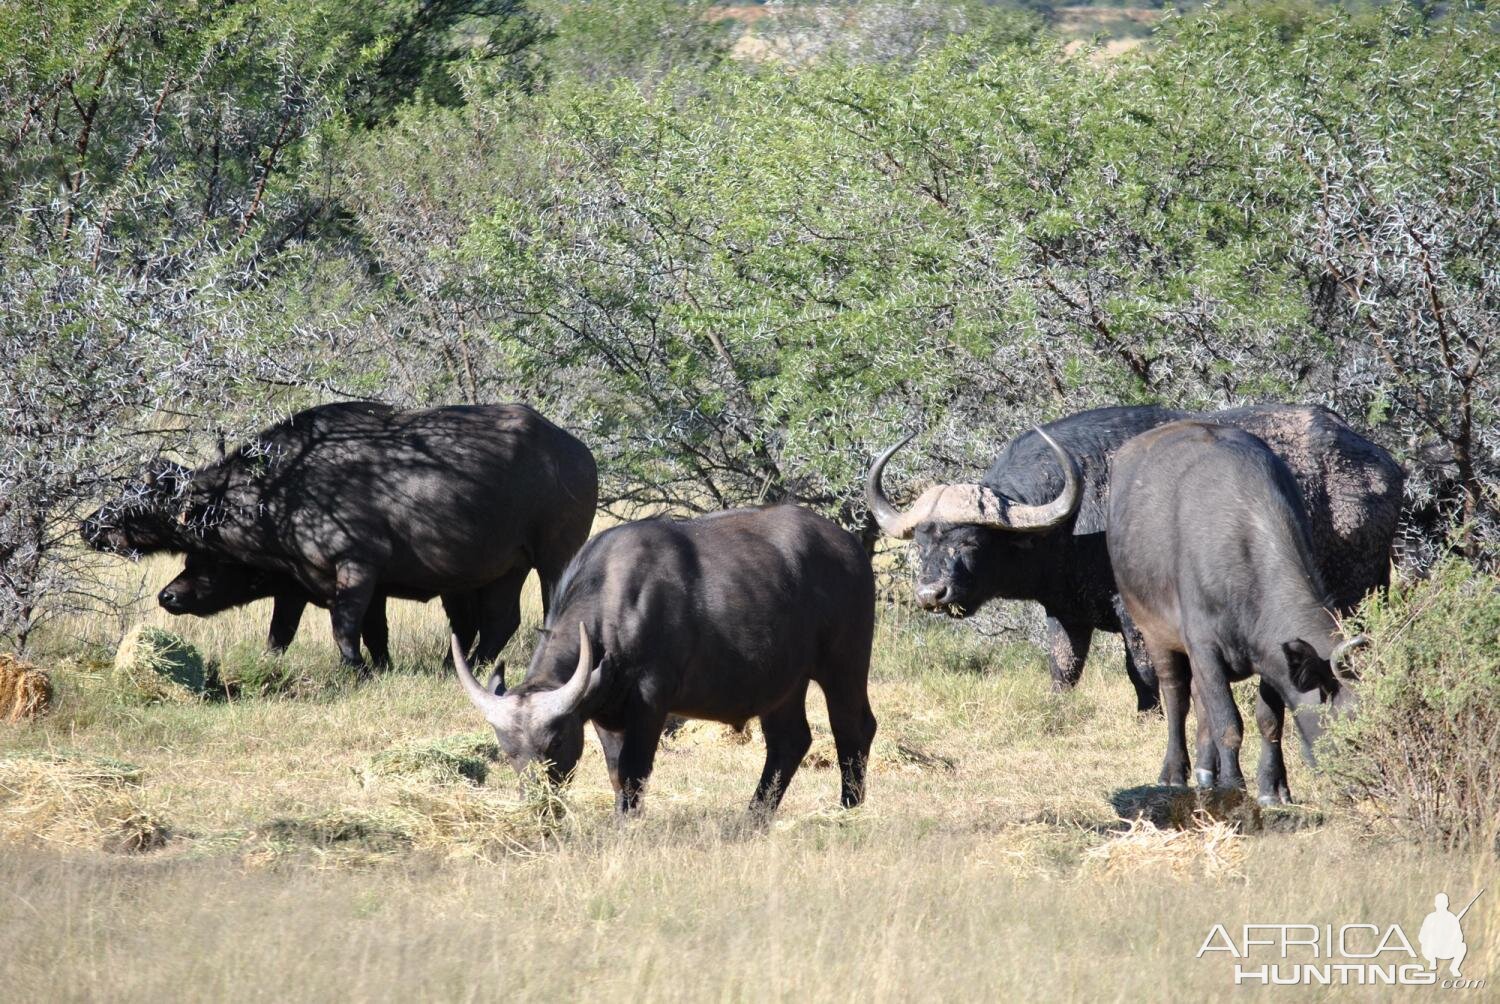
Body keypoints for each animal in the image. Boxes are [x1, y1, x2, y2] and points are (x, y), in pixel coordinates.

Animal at [450, 504, 876, 816]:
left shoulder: (650, 704)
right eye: (508, 750)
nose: (540, 806)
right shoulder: (606, 712)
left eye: (554, 742)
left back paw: (848, 809)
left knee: (854, 728)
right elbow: (616, 773)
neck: (616, 607)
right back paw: (753, 818)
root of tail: (851, 548)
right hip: (784, 686)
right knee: (789, 742)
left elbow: (634, 770)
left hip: (845, 666)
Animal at [864, 402, 1398, 708]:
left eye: (971, 541)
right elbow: (1064, 669)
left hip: (1360, 586)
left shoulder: (1135, 613)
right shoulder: (1066, 612)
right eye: (921, 541)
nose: (931, 594)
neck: (1076, 523)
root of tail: (1382, 464)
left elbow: (1143, 670)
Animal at [1110, 420, 1368, 804]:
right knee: (1176, 696)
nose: (1367, 780)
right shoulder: (1204, 648)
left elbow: (1268, 720)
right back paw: (1175, 772)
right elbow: (1228, 722)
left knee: (1199, 699)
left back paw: (1206, 771)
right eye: (1350, 725)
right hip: (1152, 630)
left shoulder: (1271, 655)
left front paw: (1273, 788)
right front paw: (1234, 785)